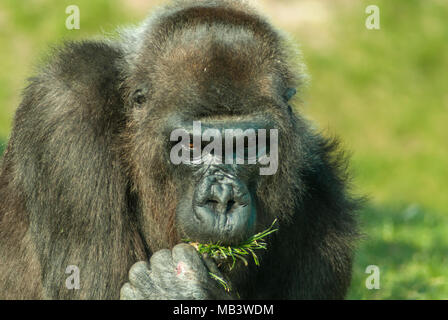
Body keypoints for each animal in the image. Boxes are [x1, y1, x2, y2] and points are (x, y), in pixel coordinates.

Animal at [0, 0, 358, 300]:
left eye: (247, 145)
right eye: (191, 145)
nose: (222, 201)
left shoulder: (324, 195)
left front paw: (179, 288)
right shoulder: (66, 105)